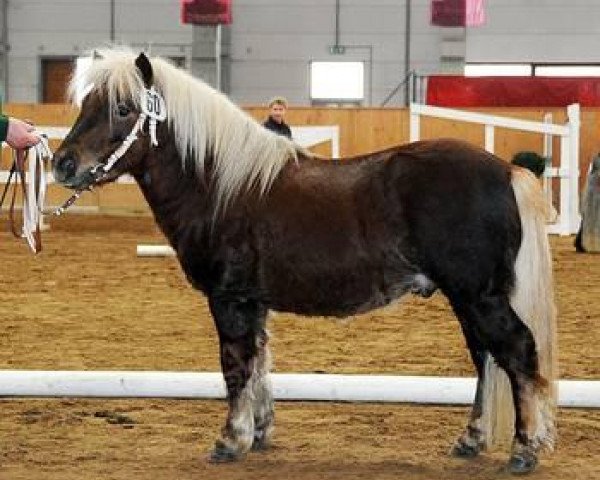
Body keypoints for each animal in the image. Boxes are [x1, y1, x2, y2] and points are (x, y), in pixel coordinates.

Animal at [51, 47, 556, 474]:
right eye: (86, 103)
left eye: (123, 108)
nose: (63, 164)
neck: (221, 185)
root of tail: (507, 170)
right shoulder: (254, 302)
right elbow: (260, 363)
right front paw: (258, 432)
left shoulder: (229, 299)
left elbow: (235, 365)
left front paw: (229, 440)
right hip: (468, 299)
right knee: (486, 358)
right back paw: (472, 439)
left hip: (478, 296)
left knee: (516, 351)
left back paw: (524, 449)